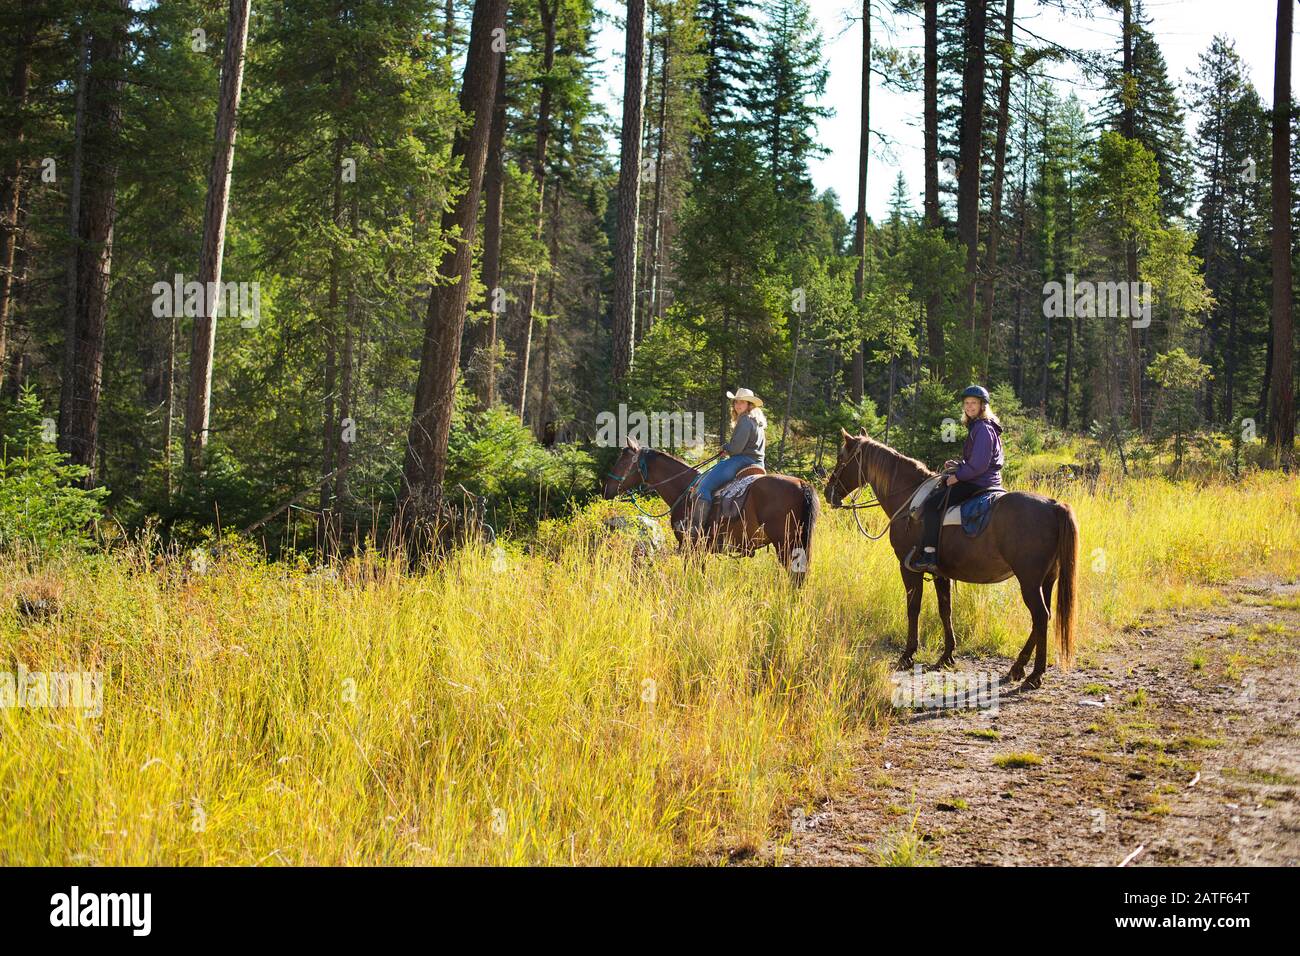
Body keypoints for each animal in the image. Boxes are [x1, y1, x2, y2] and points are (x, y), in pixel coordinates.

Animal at [603, 439, 816, 587]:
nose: (605, 489)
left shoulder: (690, 546)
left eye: (622, 461)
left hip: (786, 545)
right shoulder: (700, 550)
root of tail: (801, 484)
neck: (684, 490)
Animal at [826, 431, 1081, 686]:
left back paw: (1034, 674)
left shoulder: (908, 569)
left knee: (1040, 616)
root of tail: (1053, 505)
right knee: (1043, 618)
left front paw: (907, 655)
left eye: (841, 458)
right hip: (1047, 579)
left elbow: (913, 608)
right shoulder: (941, 574)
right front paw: (946, 656)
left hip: (1029, 581)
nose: (828, 492)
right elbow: (945, 610)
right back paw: (1017, 668)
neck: (908, 500)